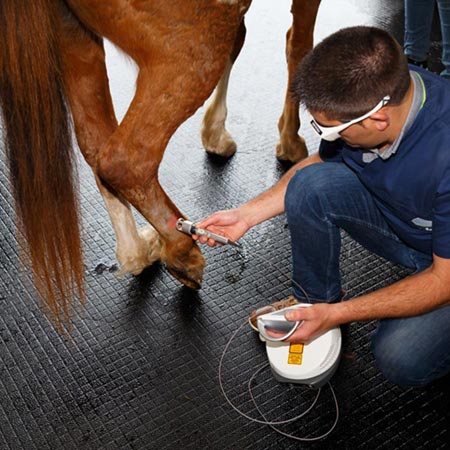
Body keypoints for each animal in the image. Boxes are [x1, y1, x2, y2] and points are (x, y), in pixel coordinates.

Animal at [0, 0, 320, 326]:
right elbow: (298, 45)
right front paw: (289, 141)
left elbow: (249, 41)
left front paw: (215, 134)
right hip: (191, 47)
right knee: (126, 160)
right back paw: (182, 254)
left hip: (74, 33)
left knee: (95, 142)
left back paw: (138, 253)